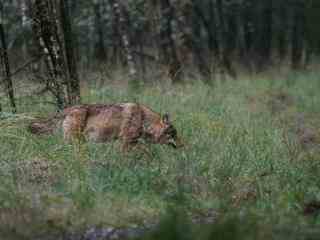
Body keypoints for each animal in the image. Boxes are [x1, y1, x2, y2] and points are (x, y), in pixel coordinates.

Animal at [28, 102, 182, 150]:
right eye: (174, 134)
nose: (183, 146)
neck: (143, 119)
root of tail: (67, 109)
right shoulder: (126, 142)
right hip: (74, 141)